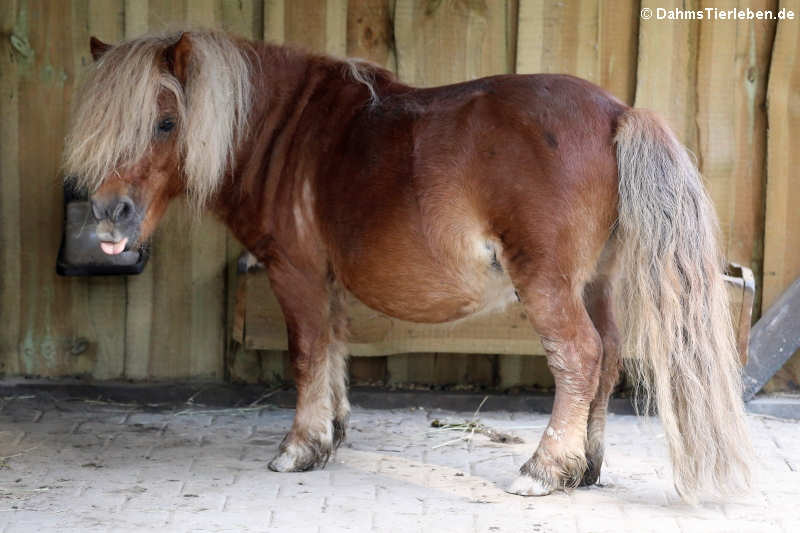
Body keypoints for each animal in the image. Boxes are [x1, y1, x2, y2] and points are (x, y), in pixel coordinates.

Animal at [61, 29, 752, 502]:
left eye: (165, 122)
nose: (110, 216)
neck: (287, 133)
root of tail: (617, 113)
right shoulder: (326, 280)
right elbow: (333, 349)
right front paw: (334, 430)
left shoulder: (294, 271)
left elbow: (306, 353)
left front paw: (301, 447)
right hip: (597, 284)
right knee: (608, 358)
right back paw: (585, 466)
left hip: (549, 285)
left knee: (579, 357)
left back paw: (545, 468)